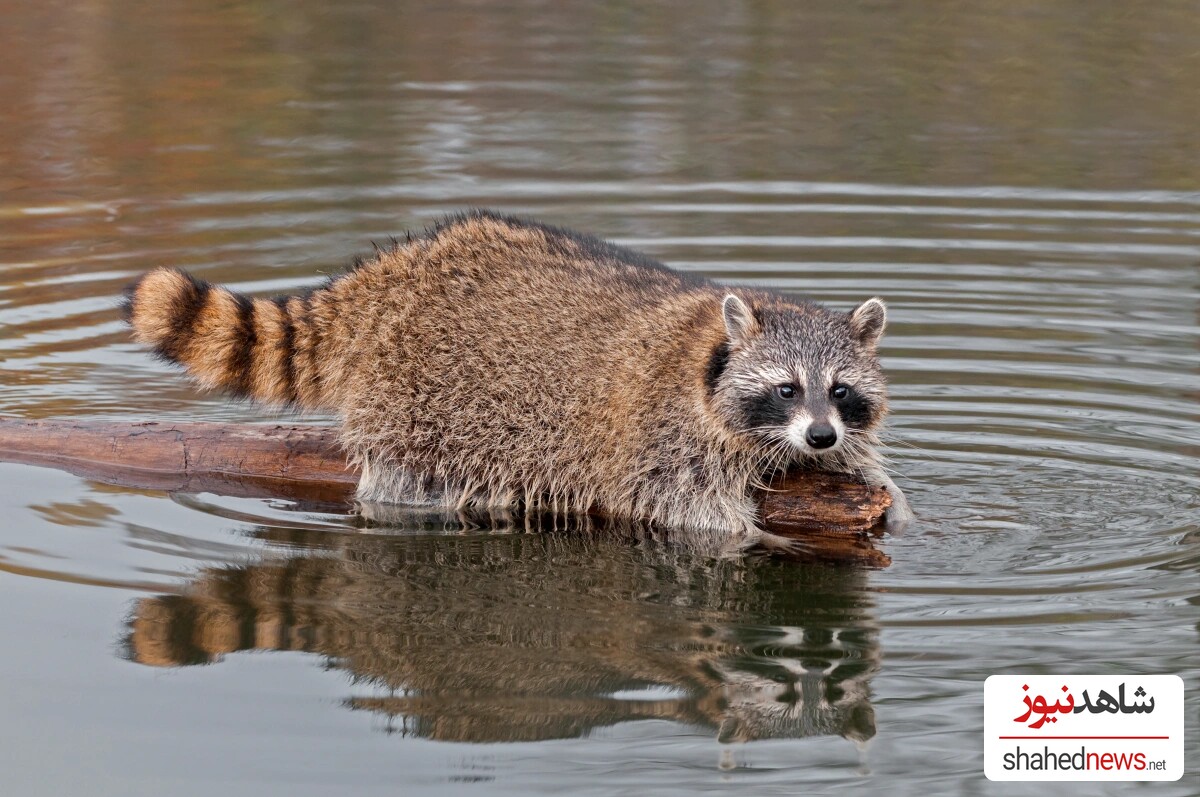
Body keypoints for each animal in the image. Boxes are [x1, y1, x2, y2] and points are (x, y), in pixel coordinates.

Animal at [124, 208, 907, 544]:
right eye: (785, 388)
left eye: (839, 391)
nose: (819, 436)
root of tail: (399, 270)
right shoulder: (663, 435)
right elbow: (678, 507)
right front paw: (752, 534)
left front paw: (881, 492)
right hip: (418, 400)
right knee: (412, 474)